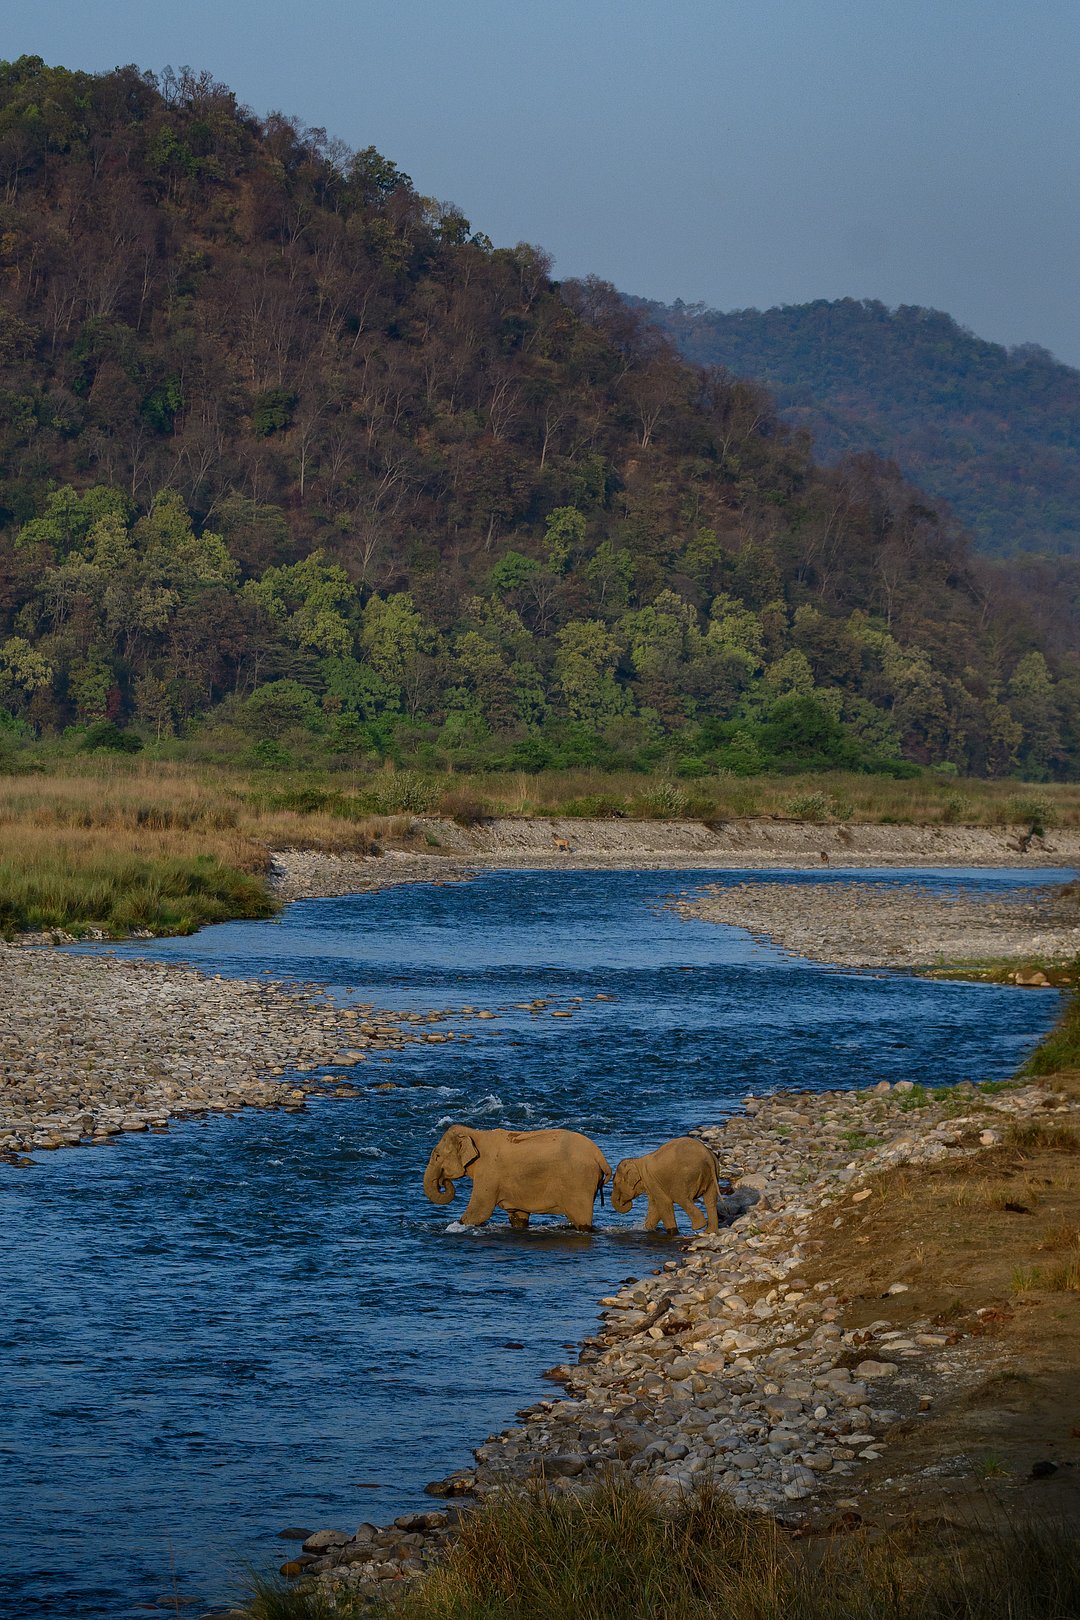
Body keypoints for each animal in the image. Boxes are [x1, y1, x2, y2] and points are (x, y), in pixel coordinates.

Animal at [420, 1127, 612, 1224]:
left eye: (437, 1156)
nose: (443, 1182)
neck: (476, 1133)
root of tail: (599, 1155)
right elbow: (518, 1214)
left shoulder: (489, 1171)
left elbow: (479, 1212)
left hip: (580, 1181)